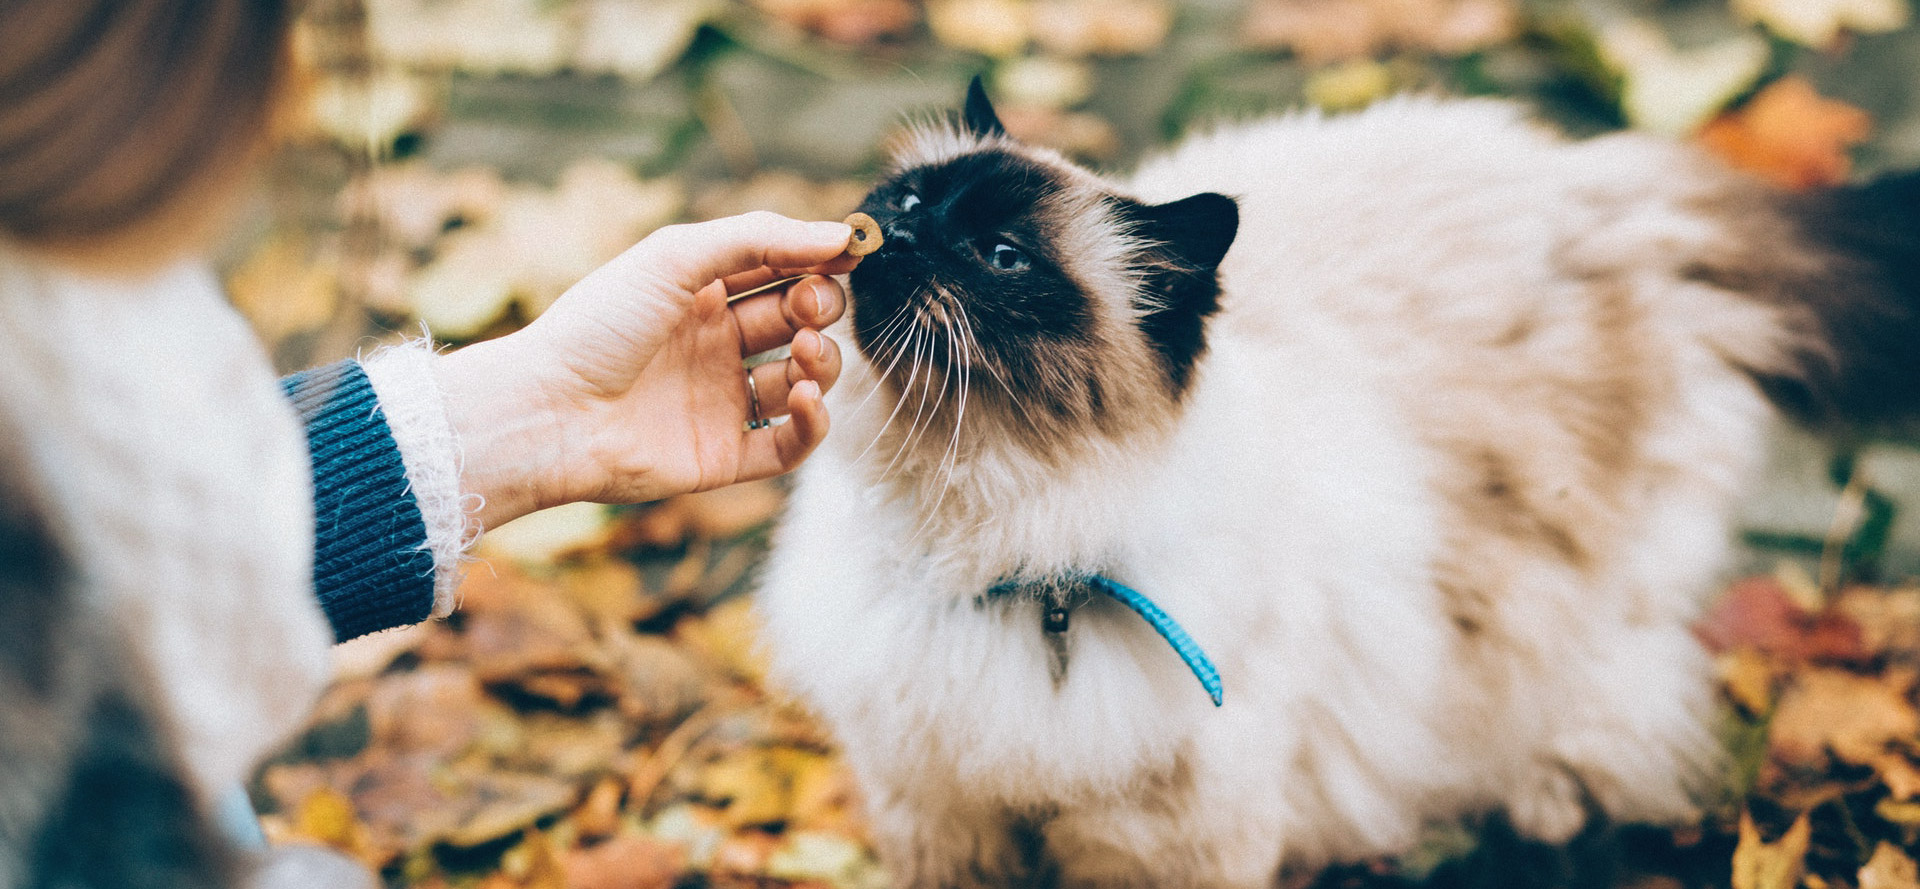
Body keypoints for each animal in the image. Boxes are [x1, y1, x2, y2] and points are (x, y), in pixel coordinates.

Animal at [744, 78, 1920, 889]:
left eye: (998, 257)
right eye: (905, 199)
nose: (894, 235)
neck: (985, 541)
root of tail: (1604, 182)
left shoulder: (1159, 842)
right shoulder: (941, 814)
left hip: (1567, 607)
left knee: (1606, 705)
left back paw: (1539, 805)